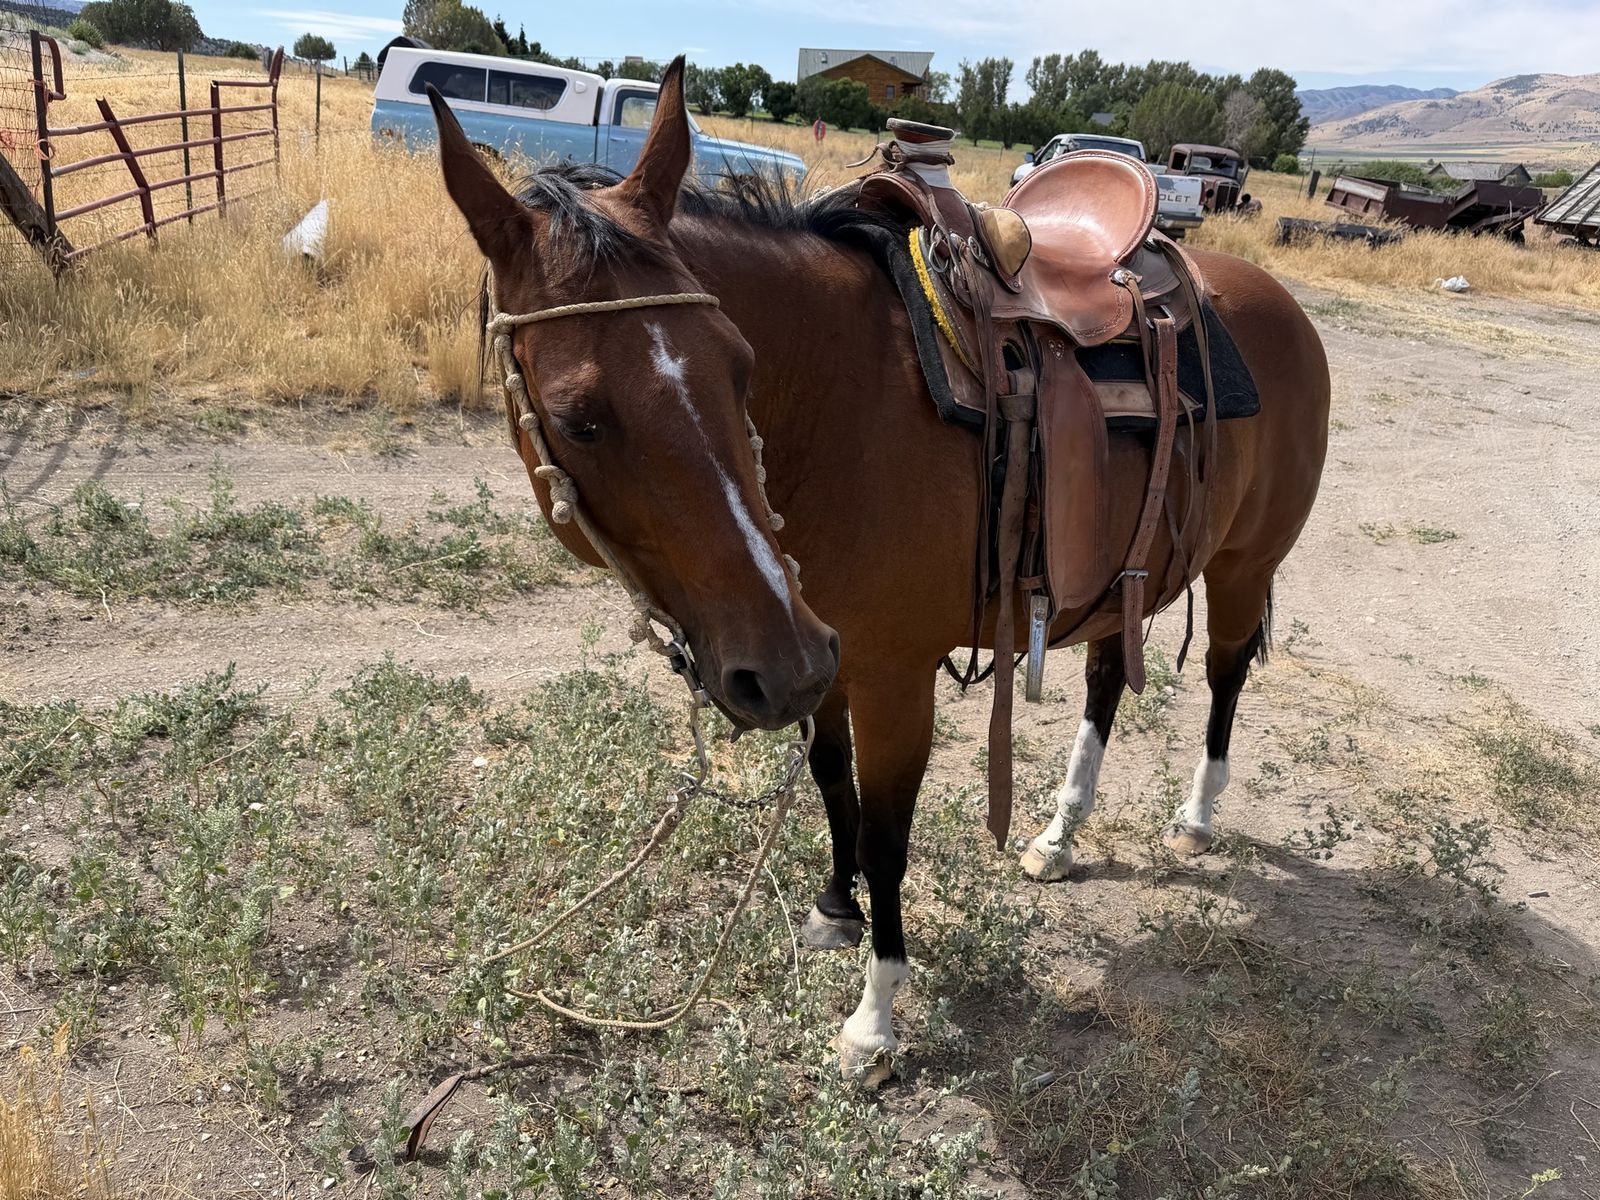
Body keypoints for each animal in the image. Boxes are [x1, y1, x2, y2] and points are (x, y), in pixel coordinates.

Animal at [426, 59, 1329, 1083]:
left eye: (740, 369)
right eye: (580, 421)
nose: (770, 666)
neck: (841, 401)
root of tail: (1279, 302)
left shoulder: (893, 675)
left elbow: (889, 833)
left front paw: (874, 1019)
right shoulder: (817, 649)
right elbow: (831, 778)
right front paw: (834, 905)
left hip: (1243, 566)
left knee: (1223, 677)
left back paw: (1197, 815)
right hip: (1116, 578)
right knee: (1107, 680)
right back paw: (1059, 835)